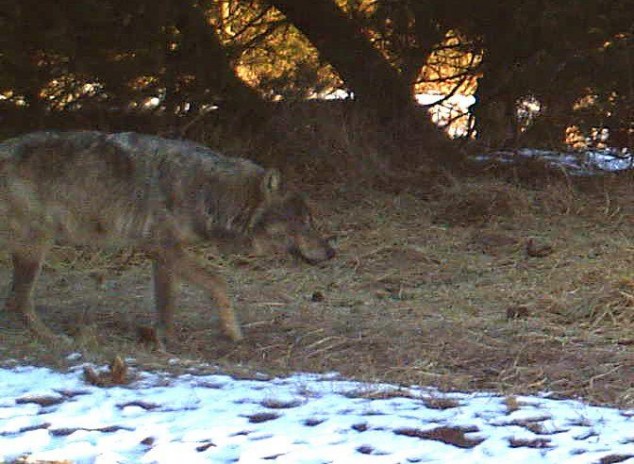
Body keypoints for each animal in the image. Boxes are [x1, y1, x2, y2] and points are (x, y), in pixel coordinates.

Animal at [0, 130, 336, 348]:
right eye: (304, 222)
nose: (332, 252)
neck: (208, 192)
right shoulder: (165, 249)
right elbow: (218, 283)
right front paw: (232, 332)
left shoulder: (163, 255)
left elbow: (166, 304)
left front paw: (166, 340)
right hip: (36, 246)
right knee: (17, 300)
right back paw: (53, 339)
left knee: (15, 299)